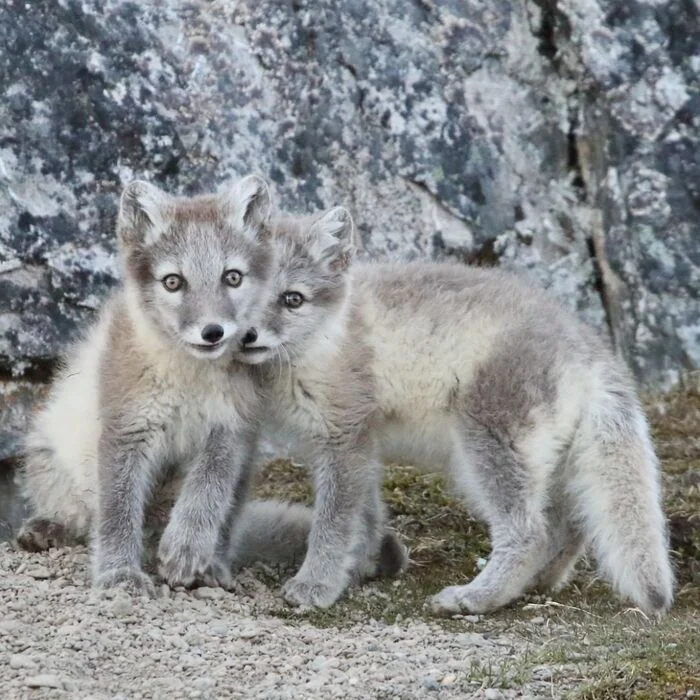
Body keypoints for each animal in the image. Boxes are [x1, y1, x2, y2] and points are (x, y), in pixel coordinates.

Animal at [234, 208, 672, 616]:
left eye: (292, 299)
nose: (245, 335)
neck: (325, 337)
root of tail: (588, 344)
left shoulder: (343, 438)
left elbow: (333, 523)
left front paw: (316, 585)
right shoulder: (358, 445)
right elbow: (367, 517)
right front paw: (362, 567)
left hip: (485, 449)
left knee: (531, 533)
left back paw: (475, 598)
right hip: (553, 461)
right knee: (567, 527)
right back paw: (535, 584)